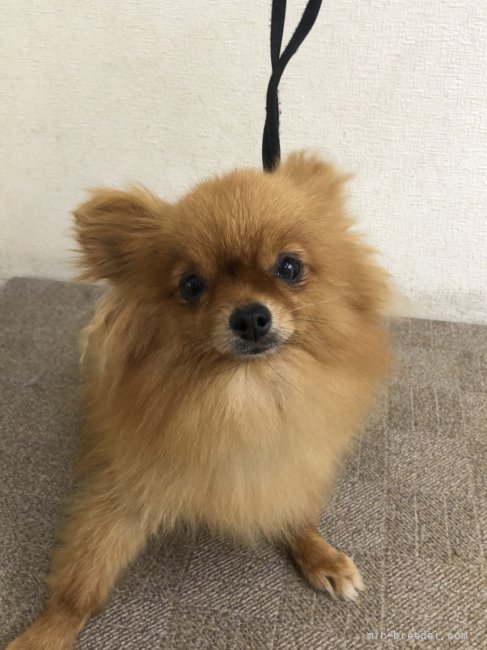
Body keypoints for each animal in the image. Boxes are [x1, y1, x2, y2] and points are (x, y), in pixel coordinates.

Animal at [8, 153, 392, 649]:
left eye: (289, 268)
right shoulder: (125, 487)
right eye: (192, 285)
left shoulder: (288, 462)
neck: (245, 397)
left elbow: (294, 511)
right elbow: (85, 574)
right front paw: (47, 631)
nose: (250, 317)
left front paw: (318, 554)